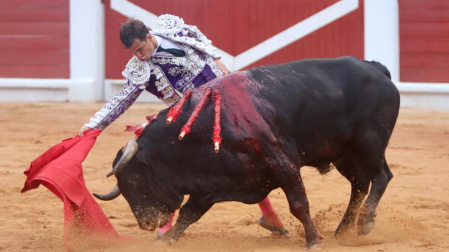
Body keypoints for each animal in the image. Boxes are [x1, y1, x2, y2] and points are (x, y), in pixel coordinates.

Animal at [93, 56, 400, 248]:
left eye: (134, 179)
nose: (145, 223)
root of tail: (375, 69)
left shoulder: (283, 164)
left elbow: (299, 204)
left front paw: (313, 240)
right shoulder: (209, 185)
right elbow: (188, 215)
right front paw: (168, 240)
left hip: (370, 142)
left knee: (381, 176)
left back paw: (365, 221)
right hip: (343, 153)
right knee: (360, 184)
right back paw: (343, 229)